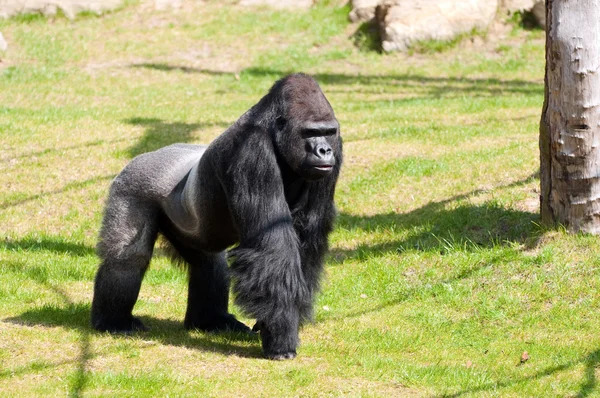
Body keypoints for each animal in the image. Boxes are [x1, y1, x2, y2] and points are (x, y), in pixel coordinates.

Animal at [89, 72, 342, 360]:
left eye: (328, 132)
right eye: (311, 133)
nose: (324, 151)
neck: (273, 130)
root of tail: (146, 156)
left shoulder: (336, 153)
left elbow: (308, 240)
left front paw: (286, 319)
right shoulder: (250, 152)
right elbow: (273, 247)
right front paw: (281, 339)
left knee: (209, 262)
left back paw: (211, 320)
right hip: (132, 183)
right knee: (129, 257)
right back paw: (113, 321)